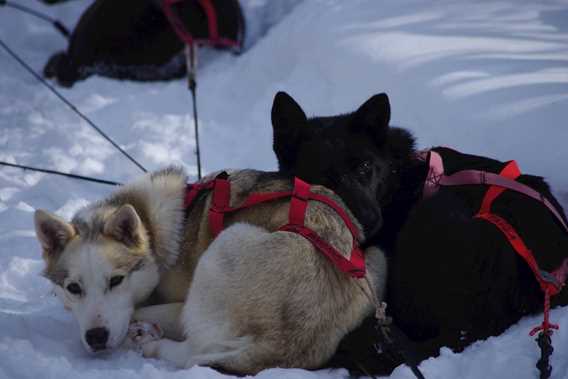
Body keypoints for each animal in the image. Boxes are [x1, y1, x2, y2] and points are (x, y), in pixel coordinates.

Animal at [34, 168, 386, 374]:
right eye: (73, 288)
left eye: (117, 280)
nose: (96, 338)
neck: (152, 228)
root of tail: (288, 342)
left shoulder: (173, 305)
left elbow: (138, 312)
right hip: (376, 261)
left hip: (227, 244)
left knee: (195, 352)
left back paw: (152, 344)